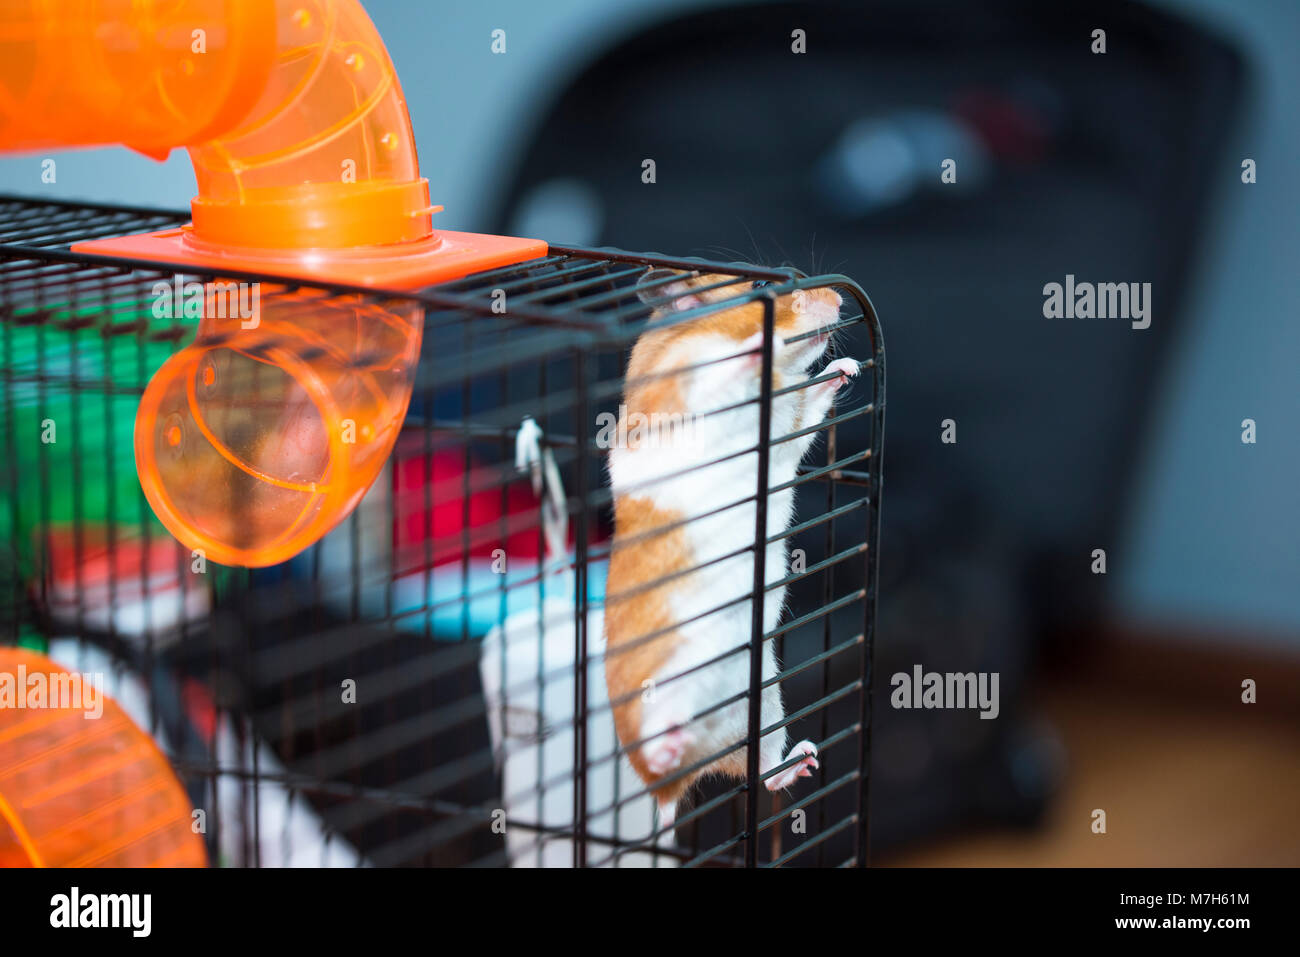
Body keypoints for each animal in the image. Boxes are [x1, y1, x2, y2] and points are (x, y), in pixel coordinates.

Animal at [603, 269, 860, 831]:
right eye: (770, 291)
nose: (840, 300)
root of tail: (675, 784)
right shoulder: (687, 393)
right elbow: (725, 372)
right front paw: (759, 344)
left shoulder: (788, 431)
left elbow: (811, 404)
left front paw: (847, 368)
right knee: (659, 751)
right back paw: (665, 744)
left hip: (765, 706)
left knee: (764, 774)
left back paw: (804, 760)